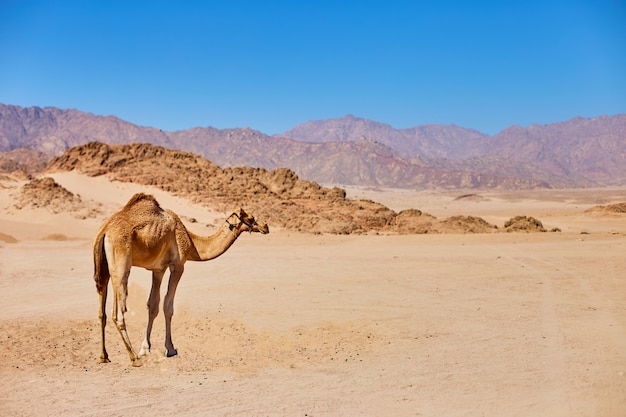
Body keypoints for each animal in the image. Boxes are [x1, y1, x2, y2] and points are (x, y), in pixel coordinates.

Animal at [92, 192, 268, 364]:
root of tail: (105, 231)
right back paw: (134, 358)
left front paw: (145, 349)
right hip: (121, 266)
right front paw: (169, 349)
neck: (192, 243)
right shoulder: (178, 265)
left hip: (102, 268)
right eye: (251, 218)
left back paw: (103, 356)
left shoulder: (159, 269)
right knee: (118, 313)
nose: (265, 226)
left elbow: (153, 305)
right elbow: (168, 306)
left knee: (102, 311)